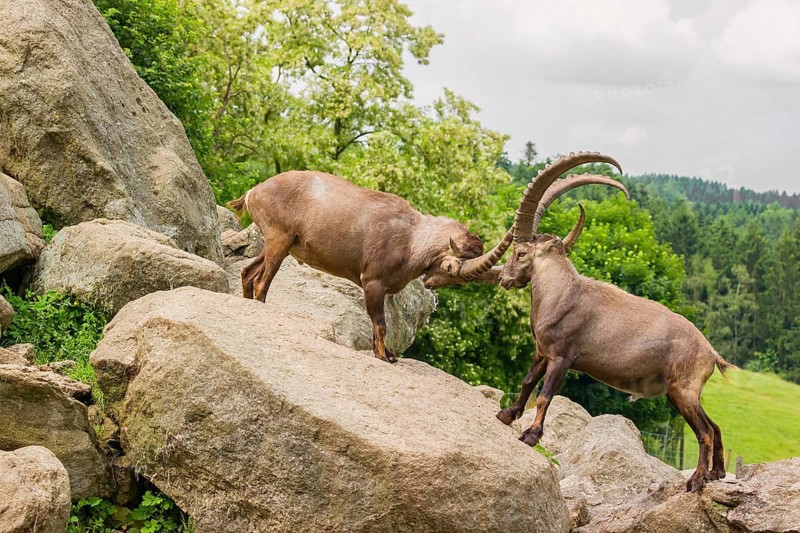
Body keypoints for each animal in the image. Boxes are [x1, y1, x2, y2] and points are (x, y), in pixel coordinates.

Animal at [227, 156, 622, 362]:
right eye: (450, 268)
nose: (431, 282)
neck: (413, 239)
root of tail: (254, 191)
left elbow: (381, 325)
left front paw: (387, 354)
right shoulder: (372, 281)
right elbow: (380, 324)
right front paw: (386, 357)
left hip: (277, 242)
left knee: (248, 272)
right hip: (279, 240)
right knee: (261, 280)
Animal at [495, 196, 734, 493]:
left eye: (520, 253)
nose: (503, 278)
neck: (561, 294)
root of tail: (711, 353)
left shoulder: (562, 358)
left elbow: (543, 396)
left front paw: (531, 435)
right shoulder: (542, 353)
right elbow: (528, 382)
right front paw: (507, 414)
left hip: (683, 390)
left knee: (705, 431)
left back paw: (697, 479)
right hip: (686, 393)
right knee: (715, 426)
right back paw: (717, 473)